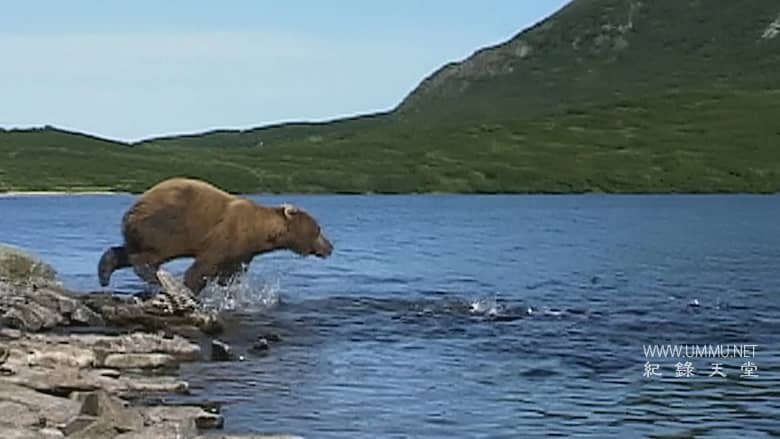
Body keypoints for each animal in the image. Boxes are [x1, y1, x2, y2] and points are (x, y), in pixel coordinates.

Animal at [97, 177, 333, 294]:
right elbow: (202, 268)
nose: (330, 247)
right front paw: (191, 289)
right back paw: (155, 276)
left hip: (142, 231)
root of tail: (131, 211)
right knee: (149, 255)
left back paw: (105, 271)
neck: (261, 232)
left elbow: (230, 274)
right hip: (167, 226)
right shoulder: (226, 236)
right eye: (318, 229)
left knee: (126, 251)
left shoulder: (243, 252)